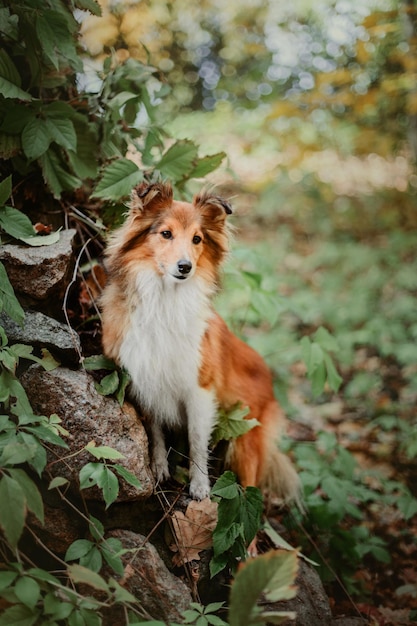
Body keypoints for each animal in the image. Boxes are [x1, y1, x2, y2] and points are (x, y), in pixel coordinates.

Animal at [99, 180, 298, 502]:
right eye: (165, 233)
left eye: (197, 239)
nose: (185, 267)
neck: (165, 301)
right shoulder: (144, 381)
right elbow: (155, 431)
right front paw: (159, 468)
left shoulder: (200, 390)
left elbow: (196, 439)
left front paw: (200, 485)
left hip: (245, 442)